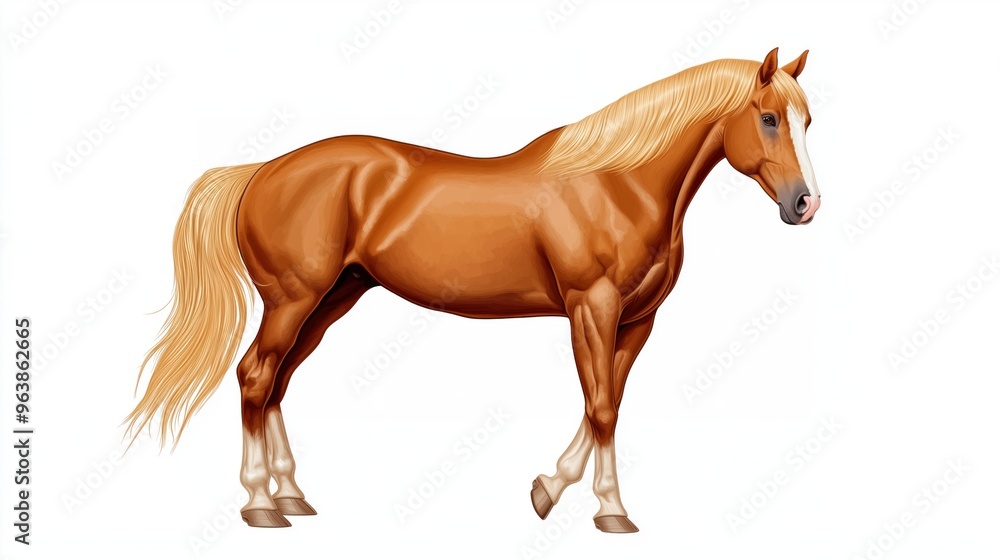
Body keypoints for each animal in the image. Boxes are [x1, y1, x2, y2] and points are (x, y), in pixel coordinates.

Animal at [126, 47, 820, 533]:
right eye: (767, 119)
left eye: (807, 119)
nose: (805, 204)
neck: (619, 184)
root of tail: (262, 170)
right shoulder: (591, 308)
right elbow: (600, 407)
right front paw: (610, 513)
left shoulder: (635, 321)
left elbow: (606, 404)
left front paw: (548, 489)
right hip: (294, 299)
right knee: (254, 376)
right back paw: (259, 505)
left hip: (332, 299)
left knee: (277, 382)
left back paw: (292, 497)